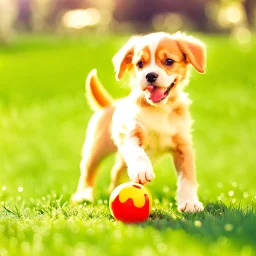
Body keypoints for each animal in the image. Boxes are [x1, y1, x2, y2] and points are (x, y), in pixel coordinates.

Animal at [72, 31, 206, 212]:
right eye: (140, 64)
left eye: (169, 61)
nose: (150, 75)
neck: (159, 109)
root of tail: (111, 104)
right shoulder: (131, 133)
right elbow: (136, 153)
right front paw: (142, 170)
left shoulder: (183, 146)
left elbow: (188, 177)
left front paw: (189, 202)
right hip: (96, 149)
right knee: (88, 172)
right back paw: (83, 195)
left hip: (120, 161)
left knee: (116, 172)